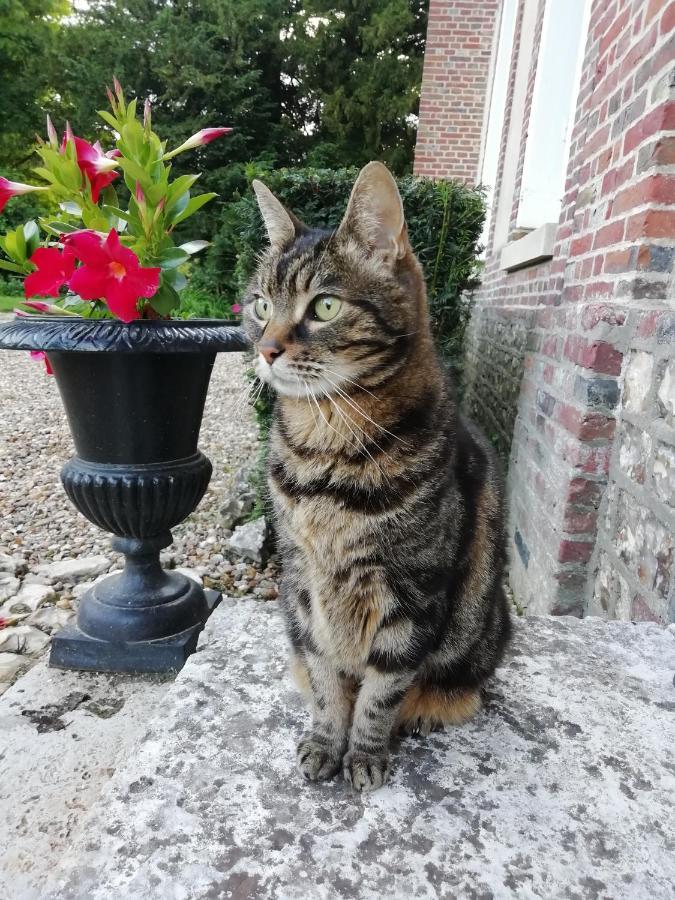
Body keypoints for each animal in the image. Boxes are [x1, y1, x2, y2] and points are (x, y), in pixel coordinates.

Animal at [243, 163, 512, 796]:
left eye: (325, 307)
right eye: (261, 305)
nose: (265, 349)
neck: (323, 450)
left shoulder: (411, 592)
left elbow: (381, 691)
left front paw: (364, 755)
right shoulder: (304, 585)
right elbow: (326, 682)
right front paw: (326, 743)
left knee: (450, 691)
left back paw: (422, 716)